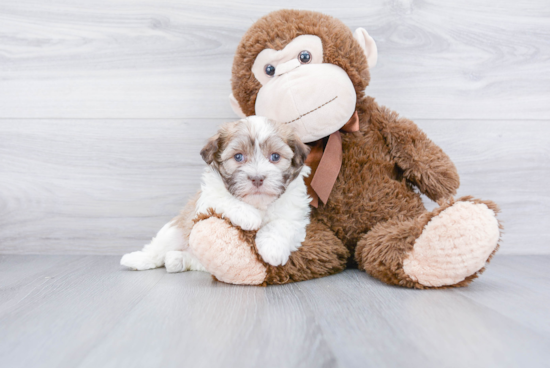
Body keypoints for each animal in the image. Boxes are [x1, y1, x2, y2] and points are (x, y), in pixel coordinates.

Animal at [122, 116, 312, 272]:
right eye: (238, 157)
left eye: (275, 157)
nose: (257, 178)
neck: (258, 204)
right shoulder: (205, 201)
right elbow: (223, 198)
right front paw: (249, 216)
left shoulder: (295, 213)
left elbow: (281, 224)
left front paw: (272, 250)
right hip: (175, 230)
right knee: (158, 248)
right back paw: (136, 259)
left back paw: (177, 259)